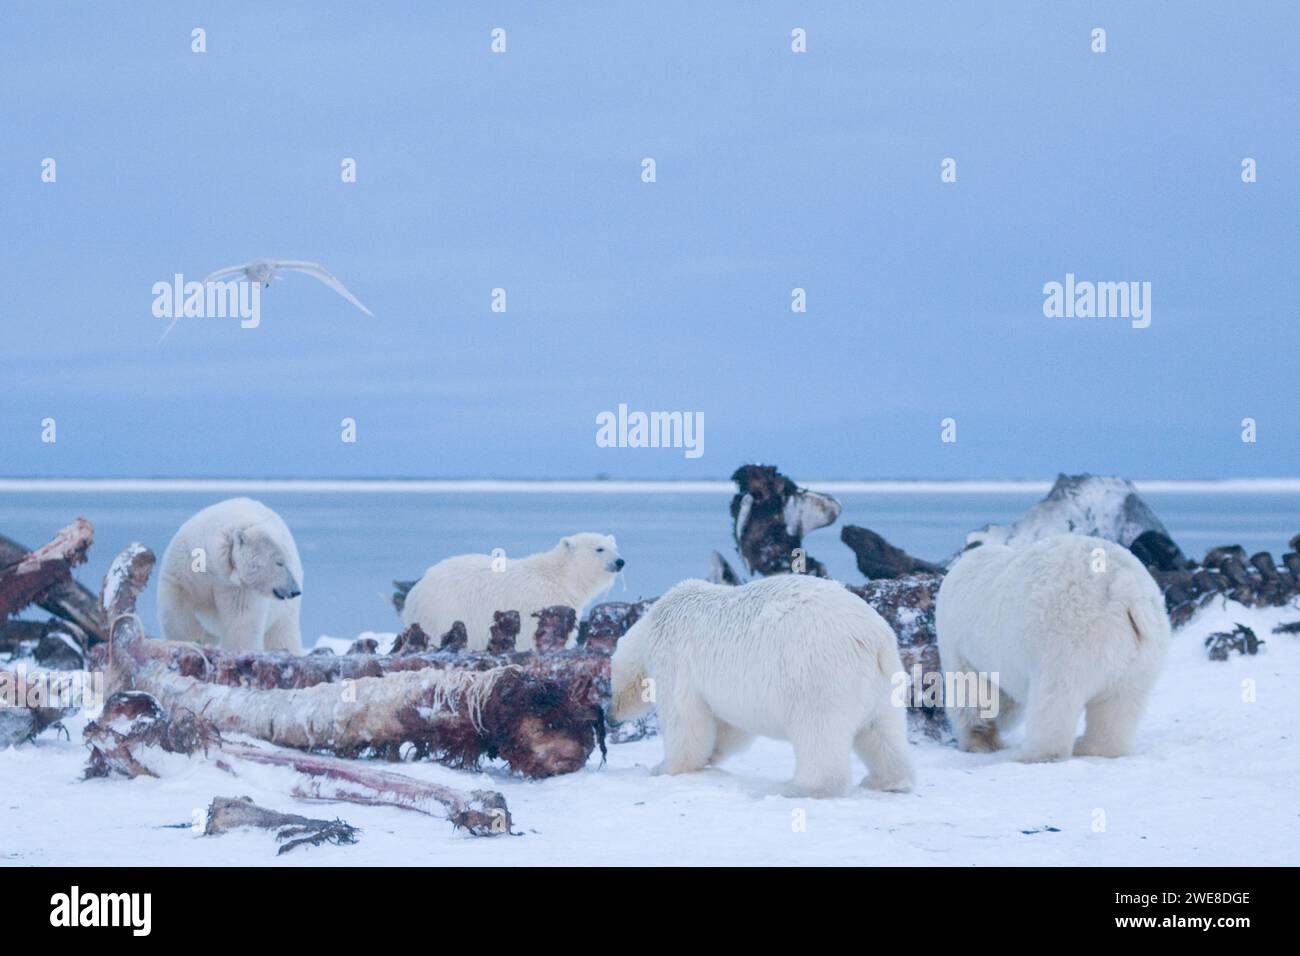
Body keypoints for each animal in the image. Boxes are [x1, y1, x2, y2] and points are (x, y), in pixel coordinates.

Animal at [157, 496, 304, 655]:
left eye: (285, 561)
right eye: (279, 562)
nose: (295, 590)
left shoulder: (239, 587)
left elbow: (241, 621)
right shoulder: (185, 569)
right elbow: (177, 610)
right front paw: (189, 642)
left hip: (284, 612)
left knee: (282, 634)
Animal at [400, 535, 624, 655]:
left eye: (614, 546)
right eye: (599, 549)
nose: (620, 561)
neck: (559, 577)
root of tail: (414, 594)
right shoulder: (540, 604)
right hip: (444, 609)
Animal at [608, 574, 915, 801]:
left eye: (610, 681)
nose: (611, 716)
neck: (654, 623)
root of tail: (873, 640)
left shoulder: (674, 660)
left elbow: (685, 720)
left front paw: (663, 767)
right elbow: (731, 726)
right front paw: (712, 754)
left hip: (817, 674)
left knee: (818, 734)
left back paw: (795, 788)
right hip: (885, 684)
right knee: (882, 731)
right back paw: (886, 780)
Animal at [935, 530, 1170, 764]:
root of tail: (1125, 586)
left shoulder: (957, 645)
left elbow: (969, 691)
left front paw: (978, 741)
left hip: (1069, 636)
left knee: (1055, 698)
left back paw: (1033, 755)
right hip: (1141, 651)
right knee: (1119, 704)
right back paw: (1093, 748)